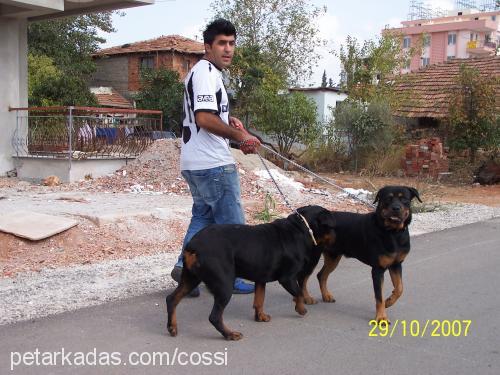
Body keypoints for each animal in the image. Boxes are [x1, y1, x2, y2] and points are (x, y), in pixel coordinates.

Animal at [166, 206, 334, 340]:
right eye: (332, 227)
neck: (300, 228)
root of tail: (193, 246)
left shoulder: (261, 277)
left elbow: (259, 299)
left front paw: (260, 316)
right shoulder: (287, 278)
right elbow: (298, 292)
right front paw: (301, 309)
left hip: (191, 278)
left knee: (172, 299)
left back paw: (172, 327)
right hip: (224, 284)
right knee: (214, 317)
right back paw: (230, 334)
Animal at [300, 187, 422, 324]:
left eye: (404, 199)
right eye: (388, 199)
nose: (396, 208)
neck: (393, 233)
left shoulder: (396, 264)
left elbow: (400, 288)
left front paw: (389, 301)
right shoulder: (378, 269)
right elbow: (379, 296)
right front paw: (381, 317)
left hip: (333, 256)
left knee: (321, 275)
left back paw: (326, 295)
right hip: (313, 257)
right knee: (303, 278)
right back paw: (307, 298)